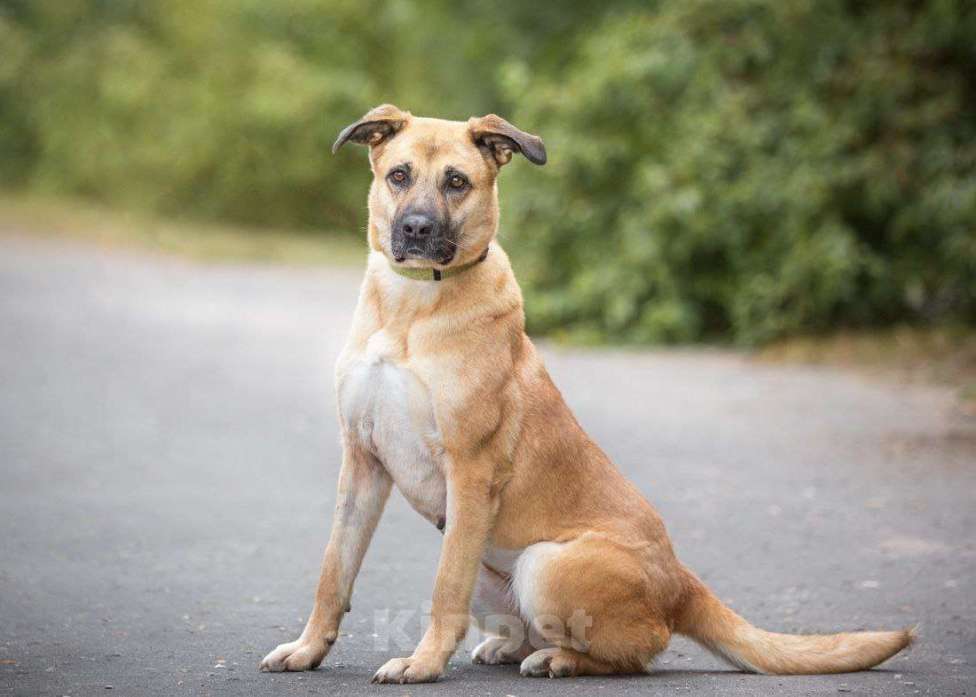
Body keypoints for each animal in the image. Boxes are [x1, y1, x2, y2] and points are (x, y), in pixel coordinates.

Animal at [262, 106, 916, 684]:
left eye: (456, 182)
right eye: (398, 175)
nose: (417, 230)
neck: (412, 309)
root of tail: (680, 581)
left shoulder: (469, 471)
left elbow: (442, 592)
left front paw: (421, 666)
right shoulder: (362, 462)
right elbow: (333, 573)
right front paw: (307, 650)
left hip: (542, 563)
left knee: (639, 650)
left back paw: (561, 660)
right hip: (485, 562)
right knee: (534, 629)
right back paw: (511, 647)